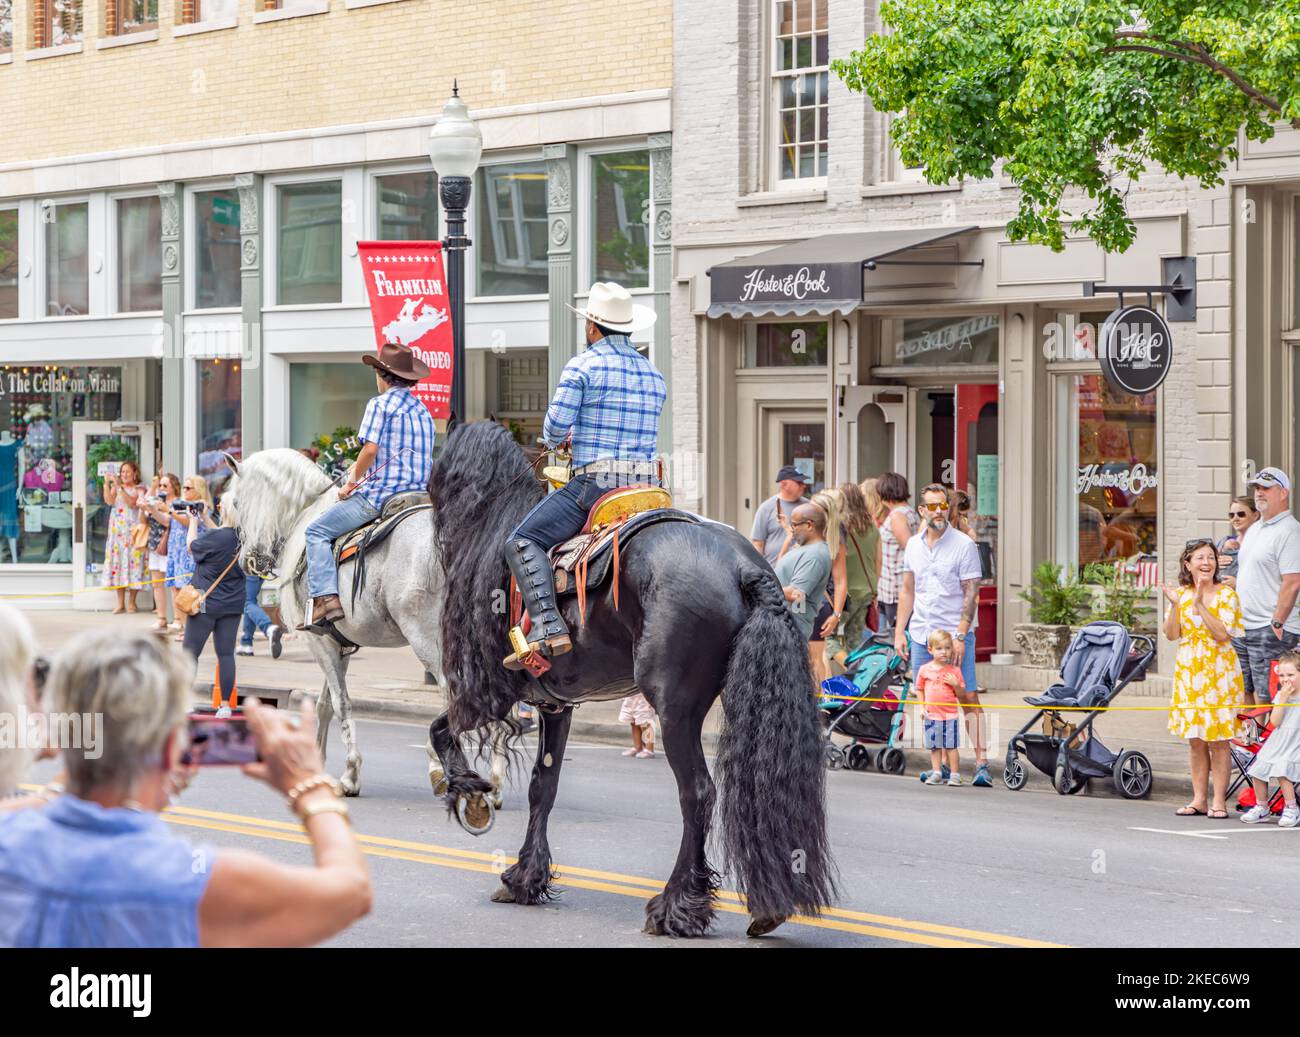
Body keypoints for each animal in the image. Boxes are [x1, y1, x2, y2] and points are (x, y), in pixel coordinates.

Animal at [223, 447, 506, 810]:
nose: (248, 562)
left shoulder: (319, 643)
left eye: (236, 502)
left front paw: (350, 776)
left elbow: (342, 704)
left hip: (429, 641)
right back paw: (494, 783)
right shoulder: (334, 643)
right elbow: (325, 704)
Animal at [423, 421, 832, 940]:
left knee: (698, 793)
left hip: (675, 706)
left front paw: (469, 794)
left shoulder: (488, 690)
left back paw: (677, 906)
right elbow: (543, 785)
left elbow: (440, 729)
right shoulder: (556, 704)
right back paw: (764, 908)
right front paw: (525, 878)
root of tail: (744, 566)